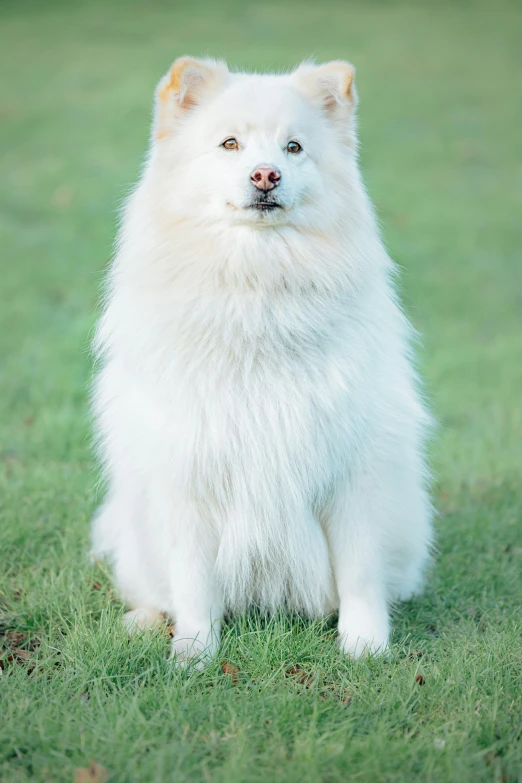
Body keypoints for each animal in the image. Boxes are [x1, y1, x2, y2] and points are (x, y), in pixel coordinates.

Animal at [92, 58, 430, 664]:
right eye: (230, 144)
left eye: (294, 148)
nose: (266, 176)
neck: (258, 291)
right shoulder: (189, 475)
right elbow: (194, 584)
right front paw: (193, 654)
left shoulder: (354, 474)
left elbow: (360, 574)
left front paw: (365, 647)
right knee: (153, 588)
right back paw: (145, 622)